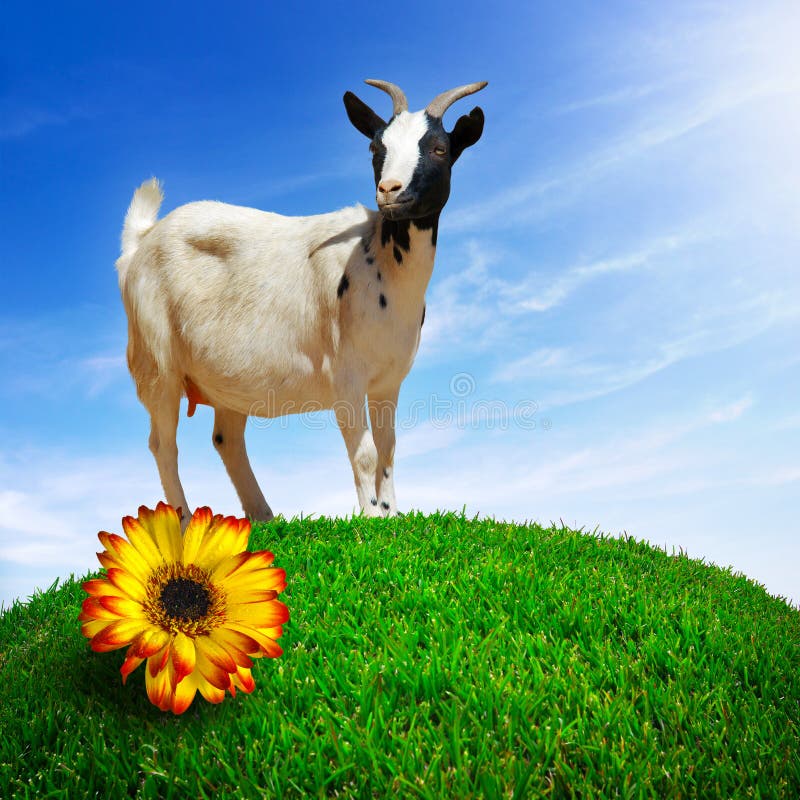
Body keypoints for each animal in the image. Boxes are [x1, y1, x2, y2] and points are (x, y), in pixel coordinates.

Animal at [115, 78, 484, 520]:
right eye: (375, 148)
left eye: (439, 148)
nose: (389, 191)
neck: (379, 257)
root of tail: (139, 243)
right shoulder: (345, 377)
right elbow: (365, 455)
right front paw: (371, 518)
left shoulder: (387, 381)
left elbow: (388, 451)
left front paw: (391, 515)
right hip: (157, 364)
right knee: (163, 444)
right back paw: (184, 520)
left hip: (223, 378)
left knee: (226, 439)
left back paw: (263, 516)